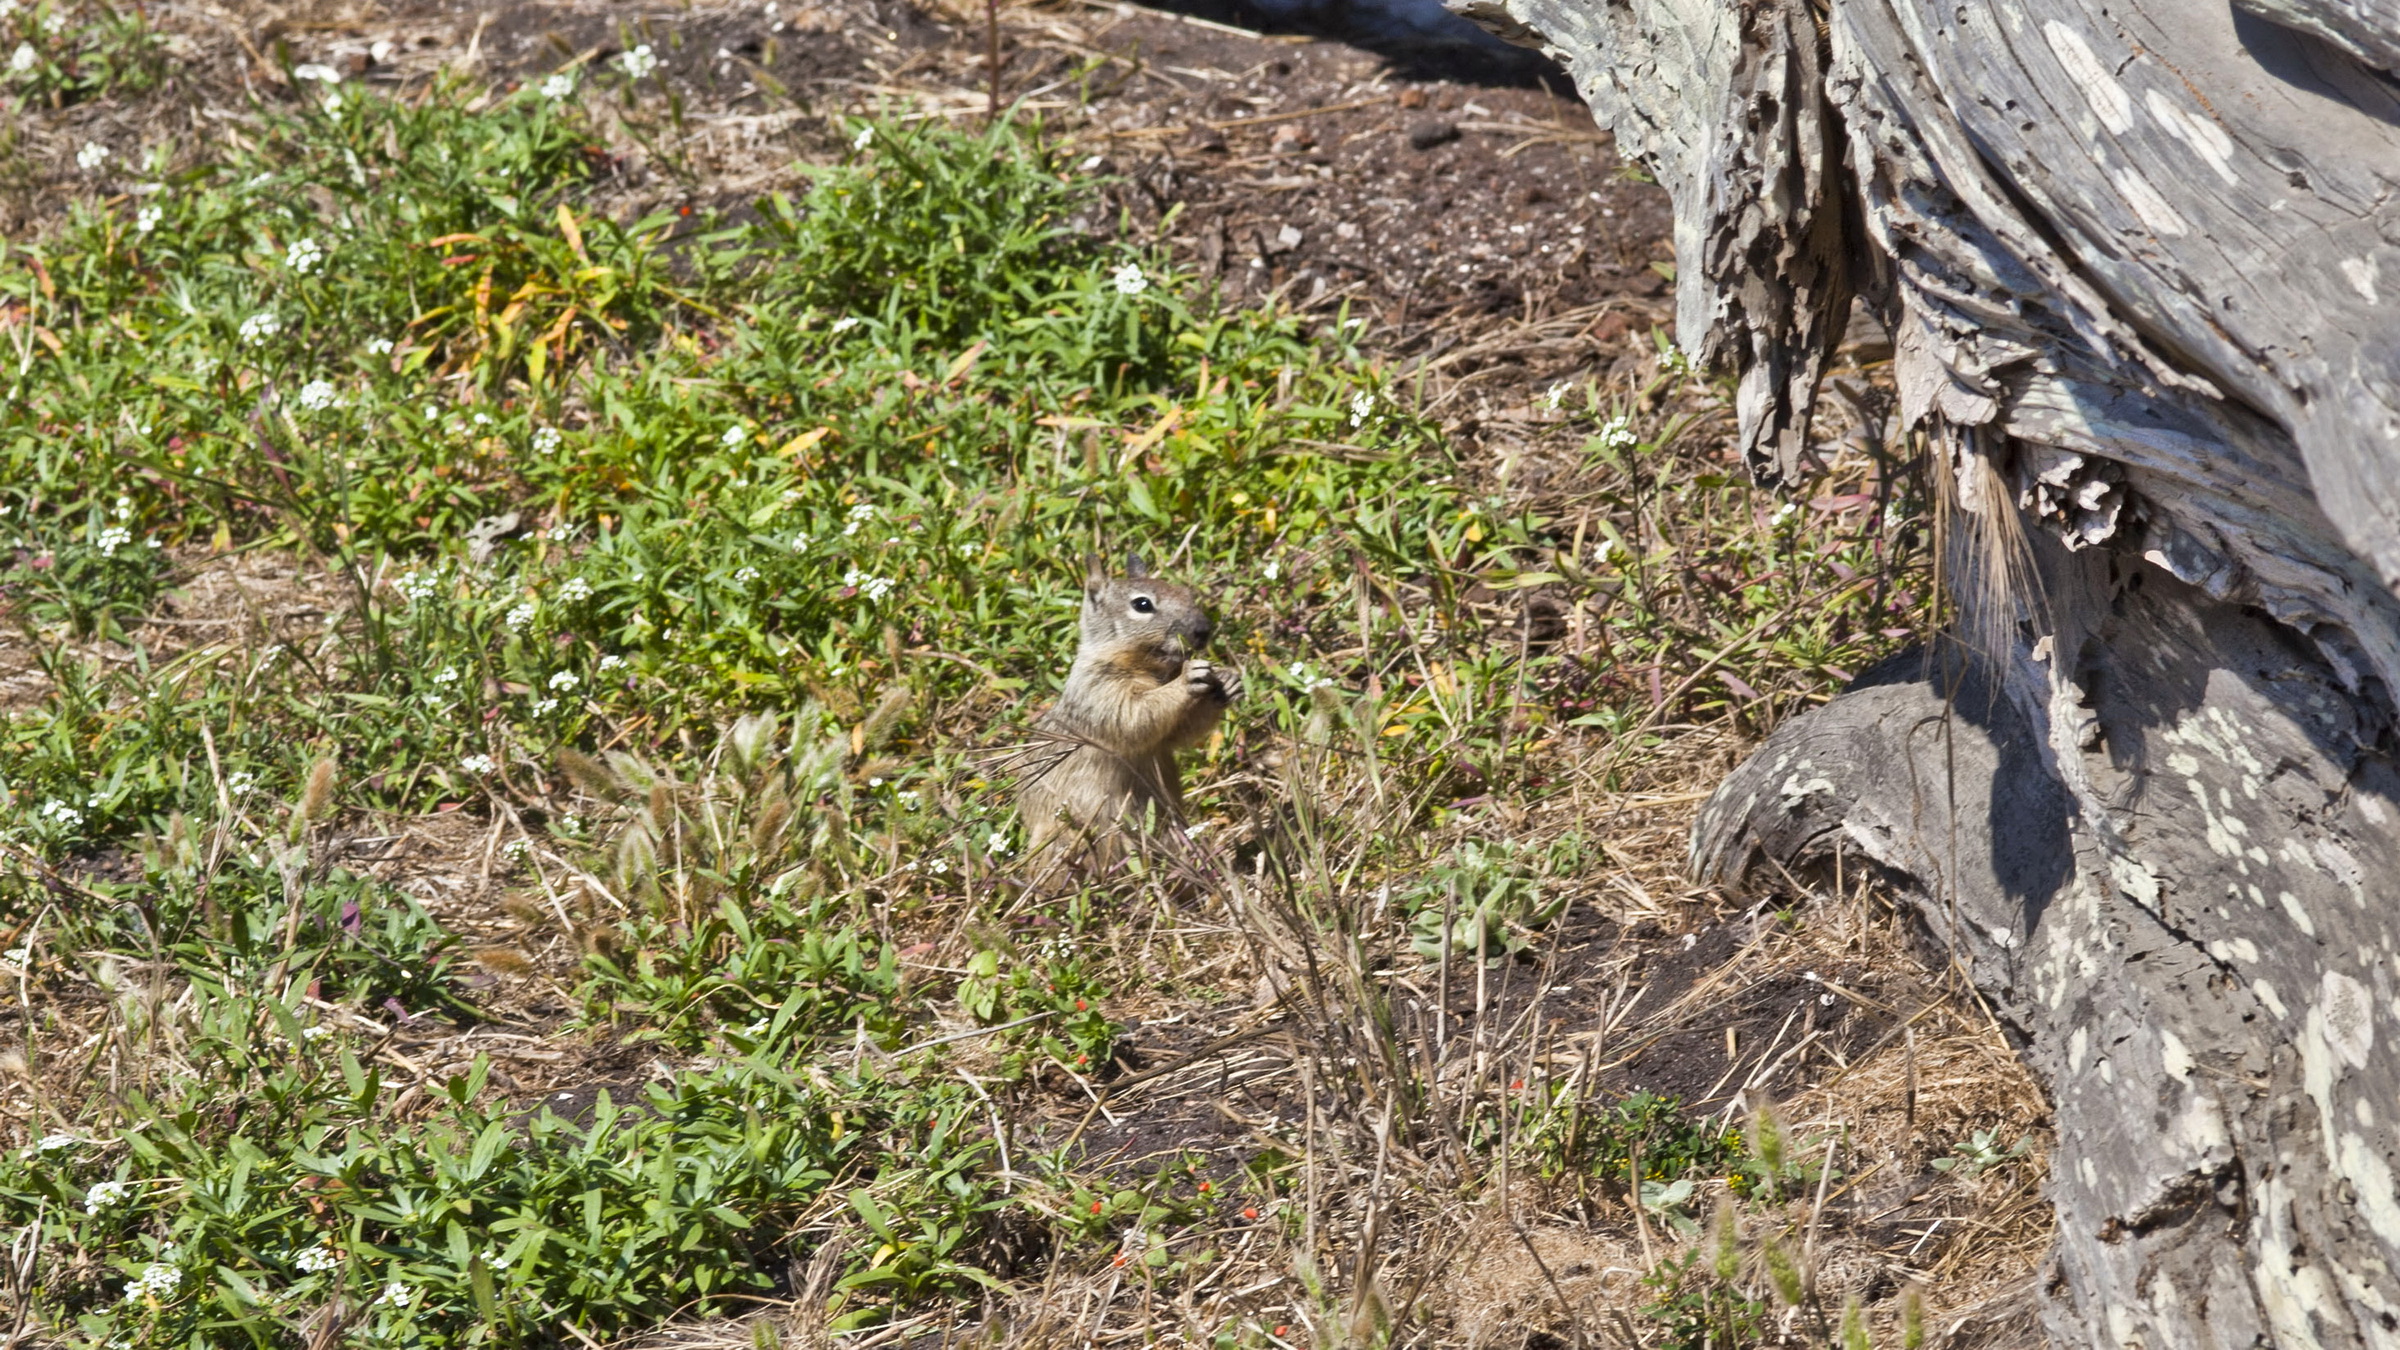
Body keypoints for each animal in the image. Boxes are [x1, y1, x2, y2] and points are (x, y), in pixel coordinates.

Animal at [1012, 550, 1238, 855]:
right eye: (1142, 604)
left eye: (1186, 593)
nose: (1204, 630)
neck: (1148, 669)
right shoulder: (1100, 693)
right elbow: (1136, 716)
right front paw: (1187, 679)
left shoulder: (1163, 738)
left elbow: (1180, 731)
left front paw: (1228, 683)